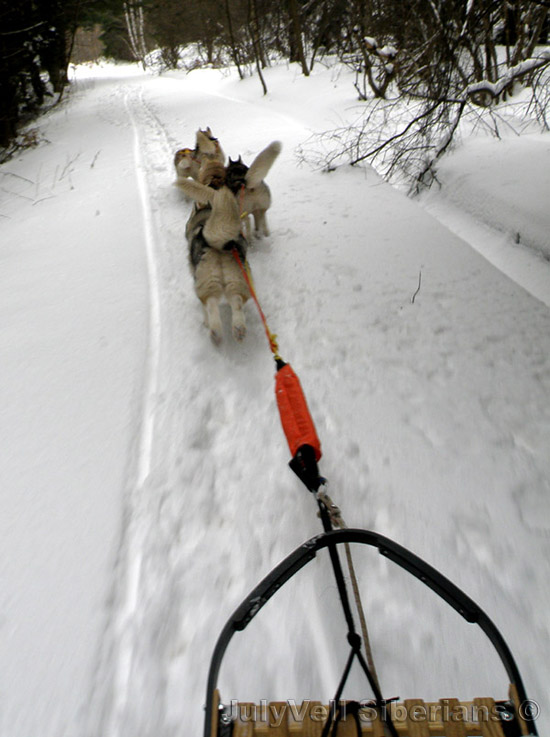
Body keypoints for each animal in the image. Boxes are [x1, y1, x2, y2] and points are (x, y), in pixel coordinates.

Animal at [180, 161, 250, 344]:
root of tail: (218, 245)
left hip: (207, 281)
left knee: (210, 304)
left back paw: (214, 330)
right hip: (236, 279)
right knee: (237, 301)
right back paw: (238, 328)